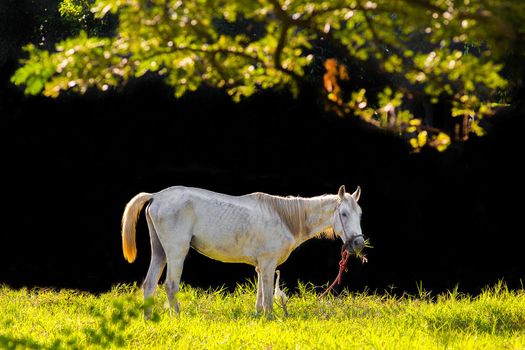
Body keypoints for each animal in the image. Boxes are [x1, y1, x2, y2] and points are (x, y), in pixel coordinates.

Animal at [121, 185, 362, 316]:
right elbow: (267, 297)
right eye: (343, 214)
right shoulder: (268, 264)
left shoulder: (261, 267)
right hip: (176, 253)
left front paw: (258, 317)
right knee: (170, 286)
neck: (284, 218)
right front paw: (270, 318)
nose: (359, 244)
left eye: (359, 213)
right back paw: (178, 318)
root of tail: (155, 195)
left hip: (160, 252)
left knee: (149, 285)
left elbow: (260, 295)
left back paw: (149, 319)